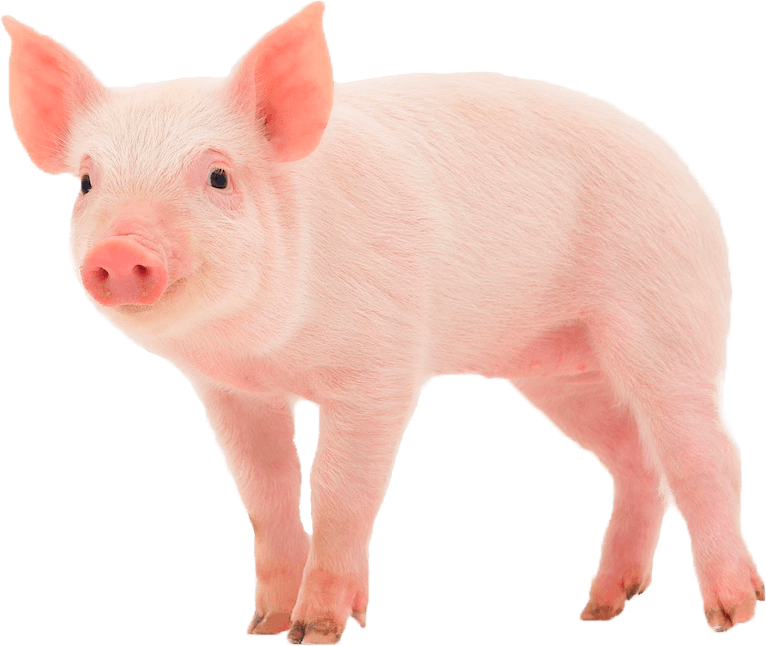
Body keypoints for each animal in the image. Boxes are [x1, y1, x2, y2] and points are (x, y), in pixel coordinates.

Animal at [3, 1, 763, 641]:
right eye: (87, 182)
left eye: (218, 177)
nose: (118, 250)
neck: (268, 349)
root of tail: (686, 173)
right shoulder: (231, 390)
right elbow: (267, 491)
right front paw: (264, 626)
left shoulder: (380, 371)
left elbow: (341, 489)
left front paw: (316, 631)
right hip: (556, 369)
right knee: (637, 459)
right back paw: (600, 608)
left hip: (670, 316)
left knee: (707, 451)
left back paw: (731, 612)